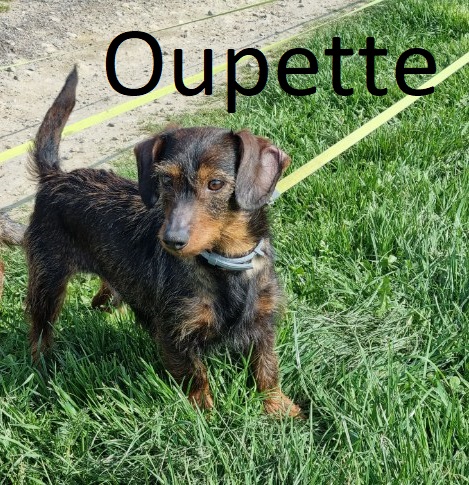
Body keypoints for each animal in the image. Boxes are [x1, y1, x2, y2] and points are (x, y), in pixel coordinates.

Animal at [25, 67, 301, 417]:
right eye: (165, 180)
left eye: (215, 184)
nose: (171, 240)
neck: (225, 262)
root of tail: (55, 177)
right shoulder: (174, 334)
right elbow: (196, 378)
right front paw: (206, 417)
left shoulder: (263, 323)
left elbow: (267, 369)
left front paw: (280, 408)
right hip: (47, 281)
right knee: (39, 330)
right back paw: (42, 369)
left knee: (101, 299)